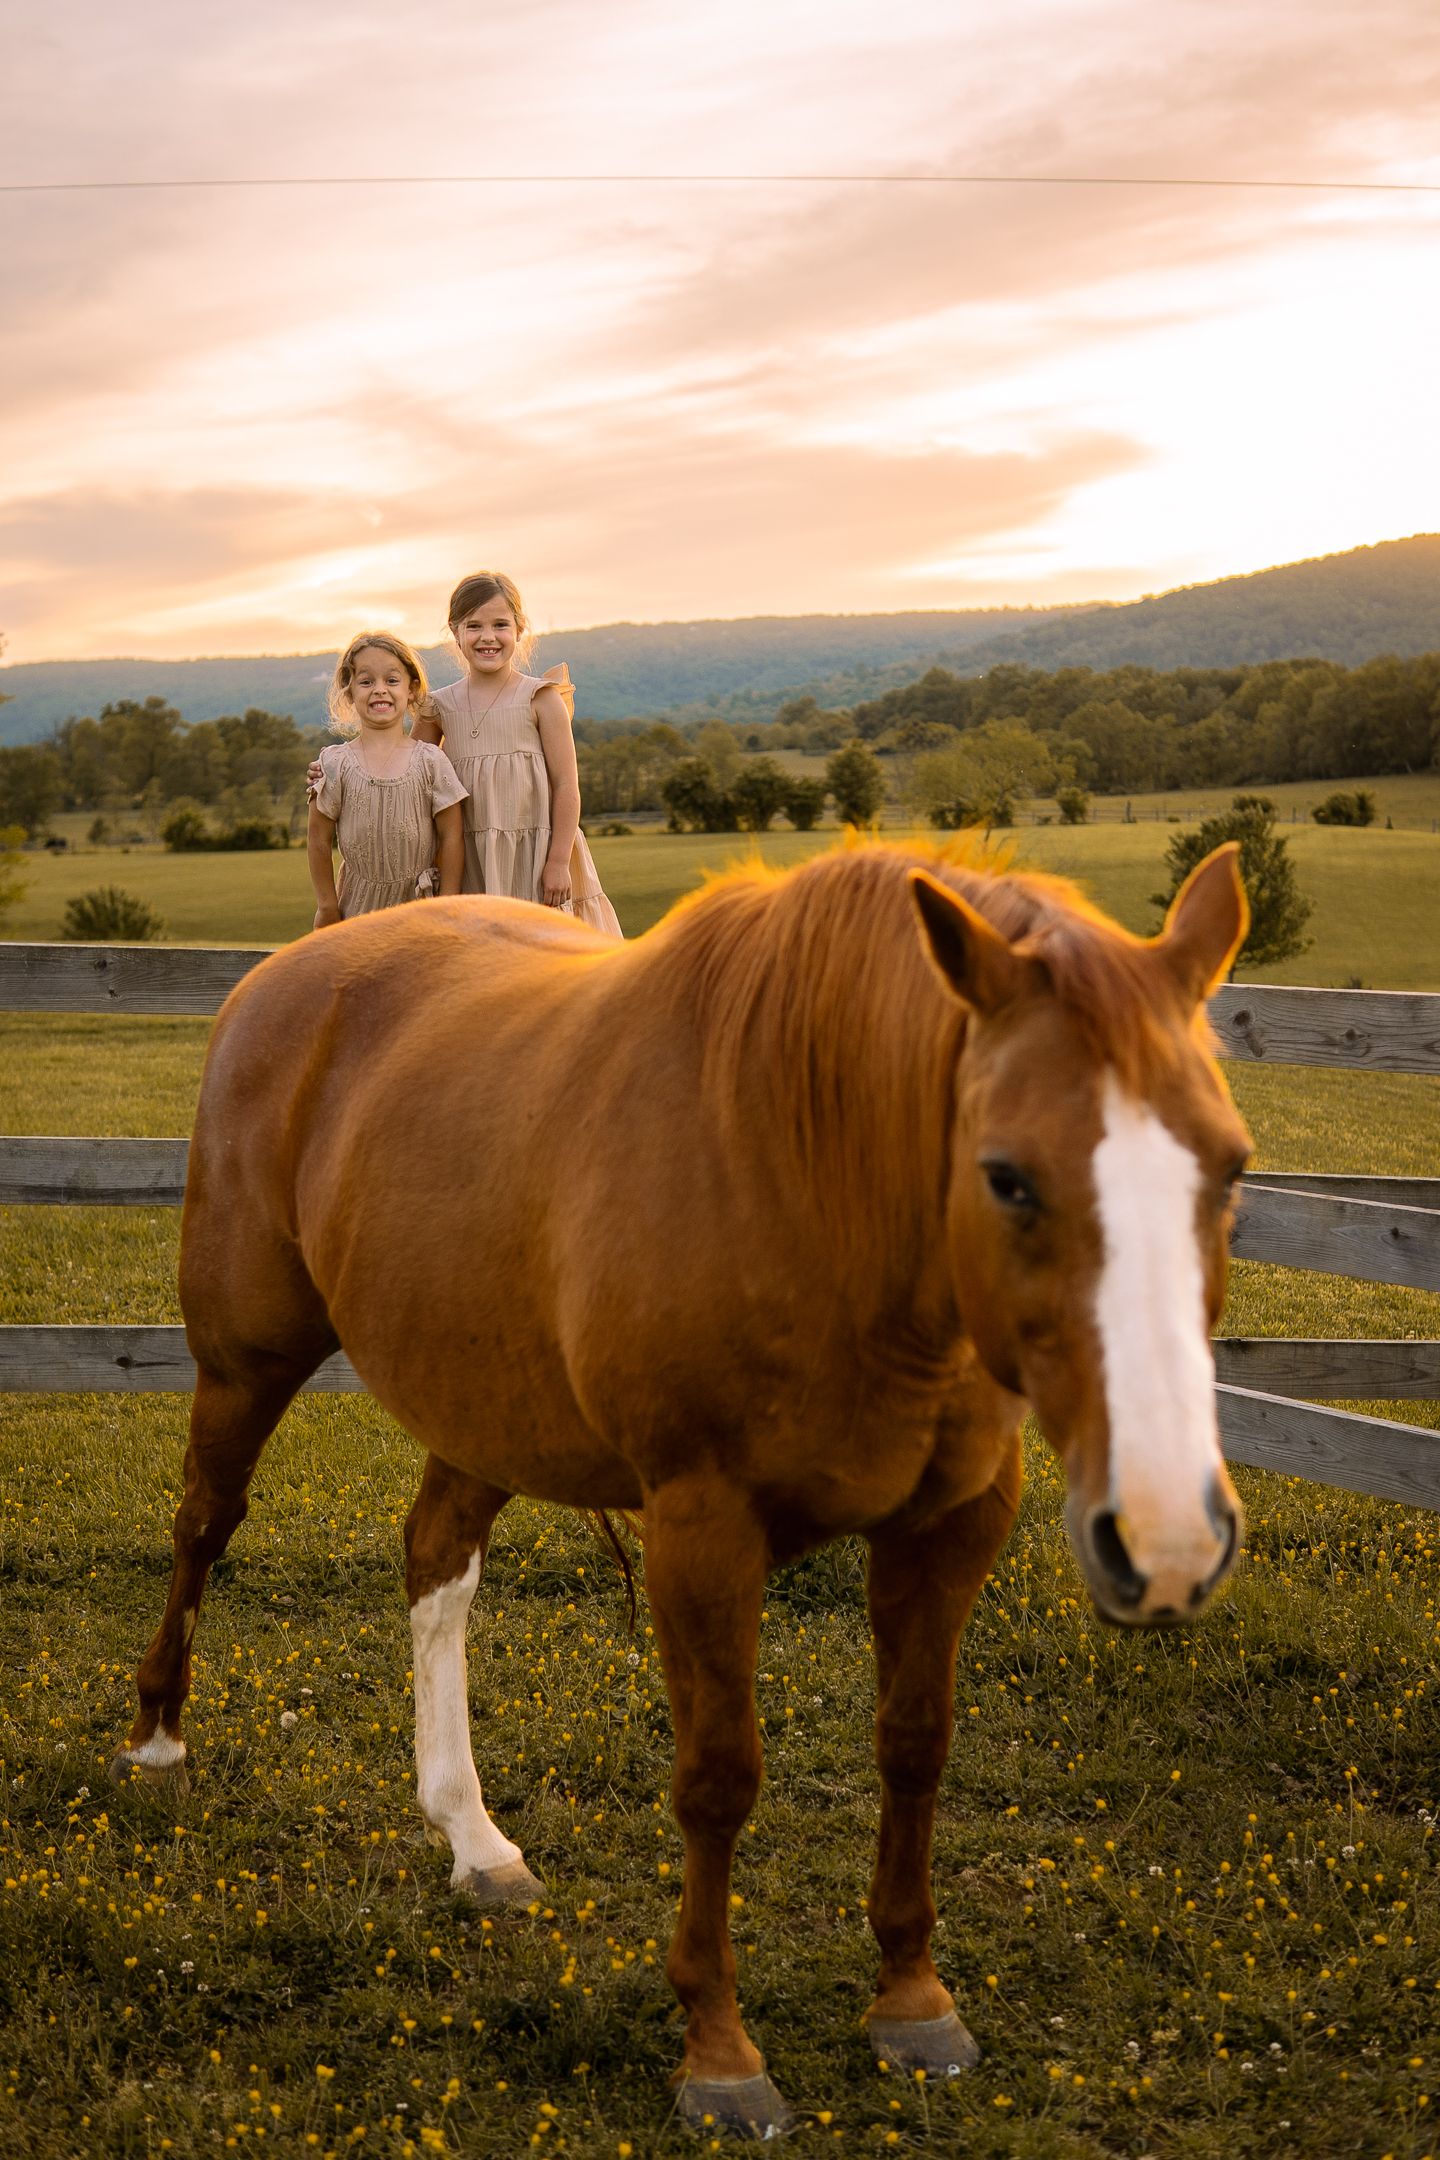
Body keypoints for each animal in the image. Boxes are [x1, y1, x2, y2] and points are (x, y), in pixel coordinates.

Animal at [114, 838, 1252, 2138]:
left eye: (1231, 1166)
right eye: (1007, 1177)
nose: (1168, 1541)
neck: (817, 1174)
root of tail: (283, 978)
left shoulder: (951, 1524)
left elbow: (916, 1745)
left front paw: (913, 1999)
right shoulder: (704, 1530)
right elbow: (718, 1778)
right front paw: (717, 2048)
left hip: (480, 1396)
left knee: (435, 1557)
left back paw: (472, 1835)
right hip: (245, 1360)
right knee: (204, 1524)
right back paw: (157, 1740)